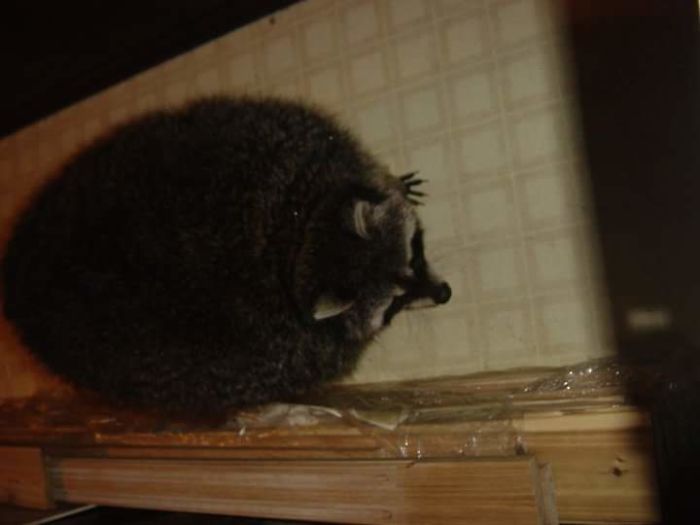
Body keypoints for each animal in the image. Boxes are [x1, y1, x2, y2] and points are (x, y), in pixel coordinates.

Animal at [1, 97, 451, 413]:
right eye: (395, 304)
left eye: (414, 254)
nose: (444, 294)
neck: (297, 236)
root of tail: (22, 284)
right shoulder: (297, 351)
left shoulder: (295, 135)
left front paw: (391, 179)